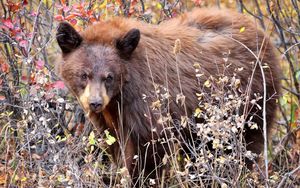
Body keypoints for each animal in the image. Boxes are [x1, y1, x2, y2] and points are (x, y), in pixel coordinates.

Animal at [55, 8, 282, 182]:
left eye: (109, 77)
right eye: (83, 74)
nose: (95, 103)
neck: (120, 95)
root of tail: (262, 34)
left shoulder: (147, 102)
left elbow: (148, 149)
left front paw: (140, 179)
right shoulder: (109, 118)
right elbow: (114, 145)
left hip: (251, 100)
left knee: (244, 145)